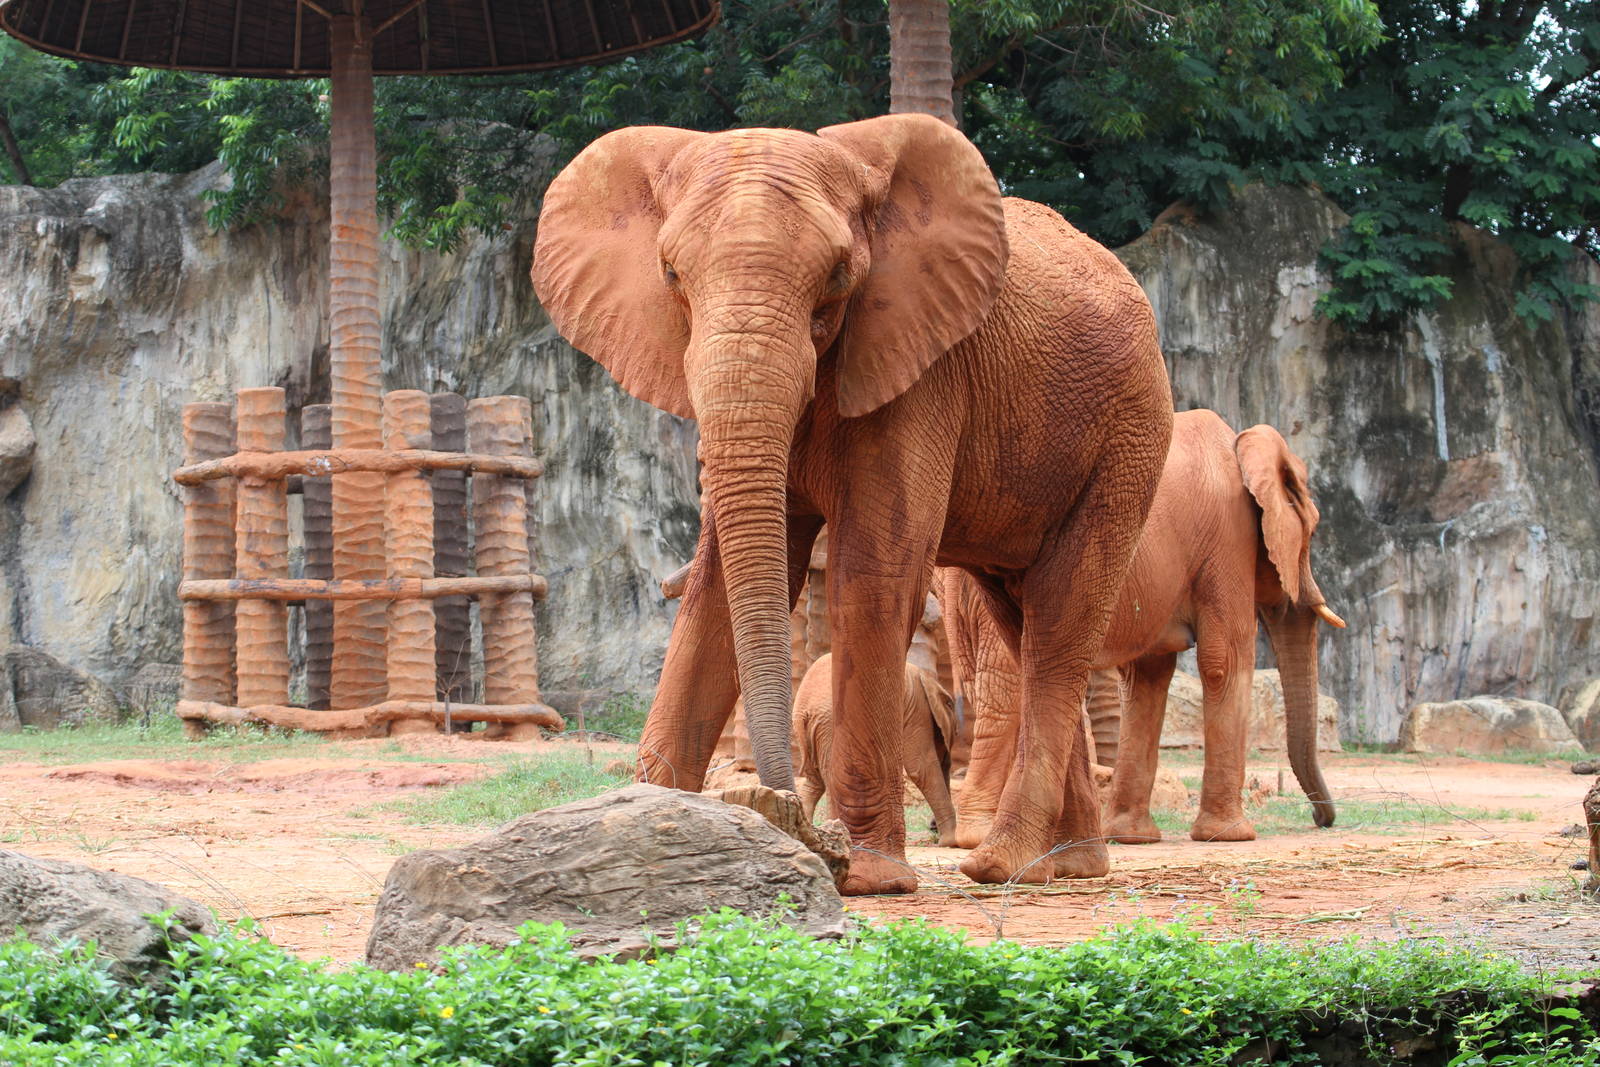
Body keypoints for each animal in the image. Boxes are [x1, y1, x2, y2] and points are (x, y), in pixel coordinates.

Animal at [793, 654, 959, 847]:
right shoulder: (917, 706)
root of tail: (804, 711)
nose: (932, 828)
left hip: (810, 732)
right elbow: (921, 767)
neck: (927, 679)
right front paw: (951, 841)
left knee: (814, 782)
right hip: (832, 725)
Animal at [946, 409, 1345, 848]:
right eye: (1312, 530)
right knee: (1011, 683)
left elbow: (1147, 676)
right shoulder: (1228, 539)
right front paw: (1231, 836)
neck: (1244, 443)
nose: (1322, 819)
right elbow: (1225, 660)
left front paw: (1130, 836)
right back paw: (982, 837)